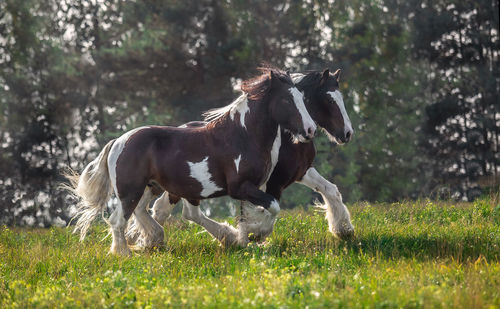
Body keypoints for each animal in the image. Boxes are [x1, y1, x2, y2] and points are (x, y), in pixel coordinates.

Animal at [65, 67, 316, 255]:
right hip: (130, 190)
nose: (310, 130)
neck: (243, 136)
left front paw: (248, 236)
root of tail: (118, 141)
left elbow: (253, 213)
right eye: (286, 99)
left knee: (145, 212)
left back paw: (156, 240)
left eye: (302, 98)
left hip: (153, 186)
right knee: (118, 220)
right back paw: (124, 253)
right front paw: (256, 234)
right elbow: (273, 206)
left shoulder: (253, 186)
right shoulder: (239, 187)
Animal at [129, 68, 356, 247]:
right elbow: (266, 209)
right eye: (329, 99)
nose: (347, 133)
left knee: (162, 210)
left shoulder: (300, 172)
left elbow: (330, 190)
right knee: (166, 210)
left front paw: (343, 230)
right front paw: (253, 235)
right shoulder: (272, 182)